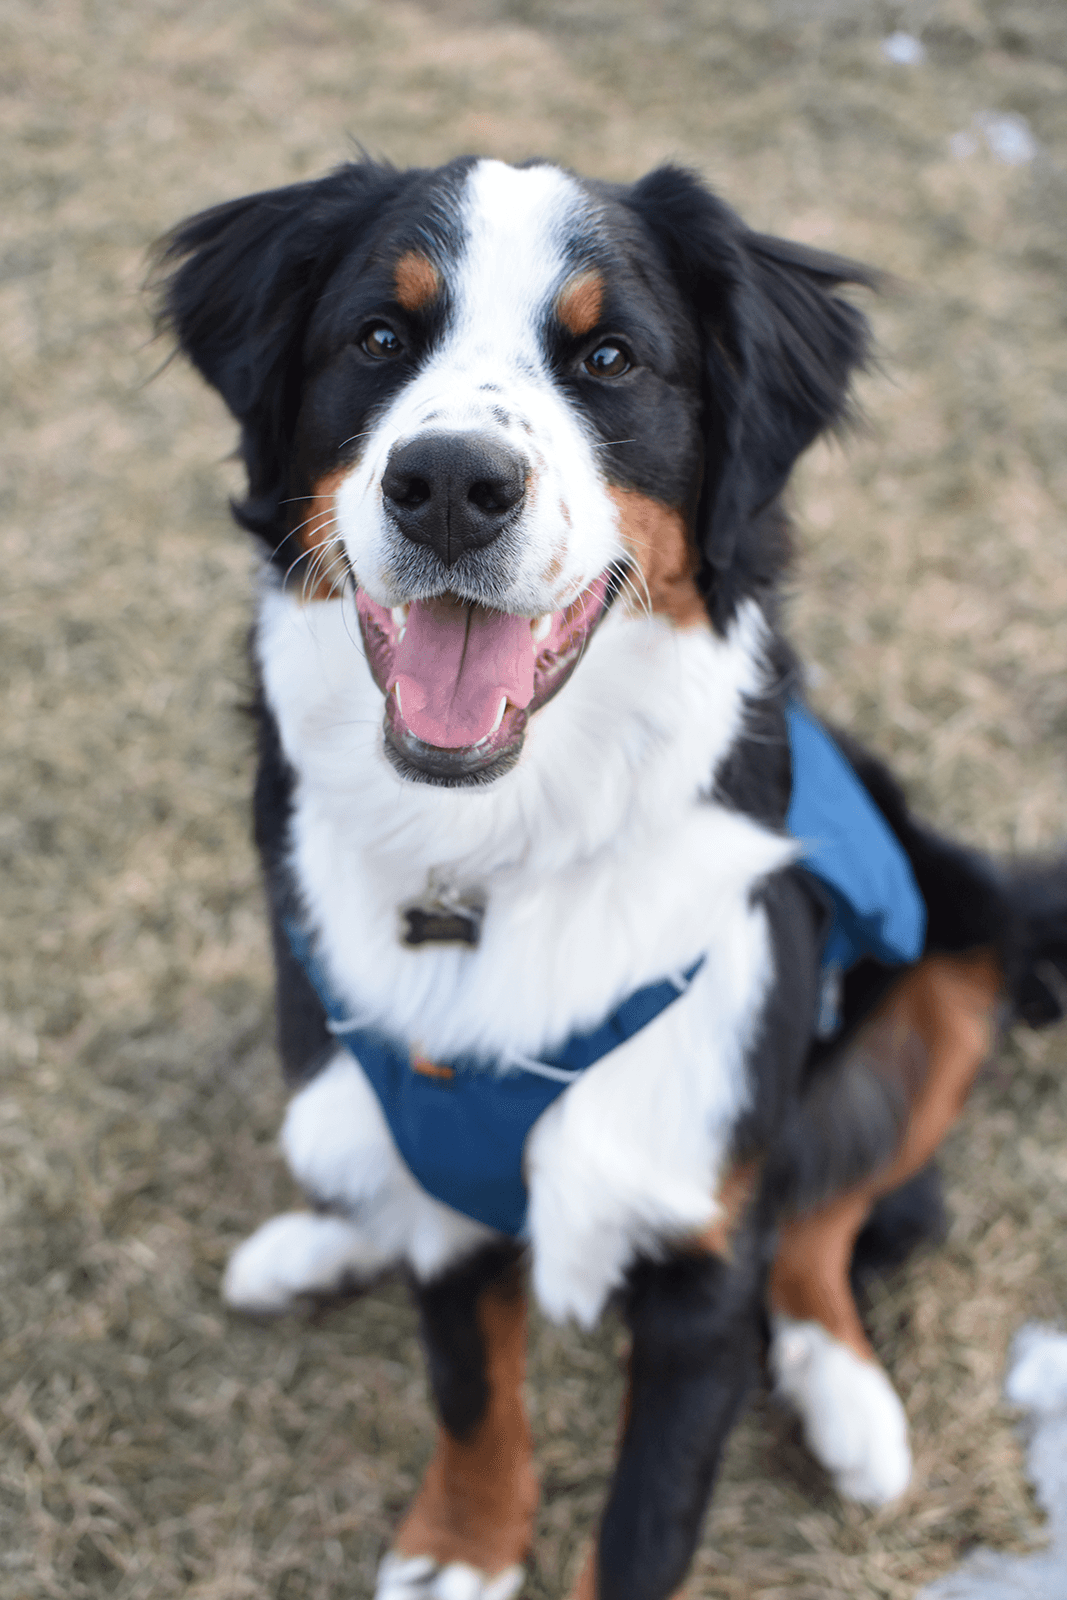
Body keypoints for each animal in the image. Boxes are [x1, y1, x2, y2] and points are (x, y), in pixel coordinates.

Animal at [160, 156, 1067, 1600]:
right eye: (378, 337)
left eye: (607, 357)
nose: (449, 482)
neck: (496, 855)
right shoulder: (449, 1200)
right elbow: (470, 1386)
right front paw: (460, 1547)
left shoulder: (695, 1268)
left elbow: (649, 1512)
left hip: (951, 961)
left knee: (832, 1214)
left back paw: (844, 1394)